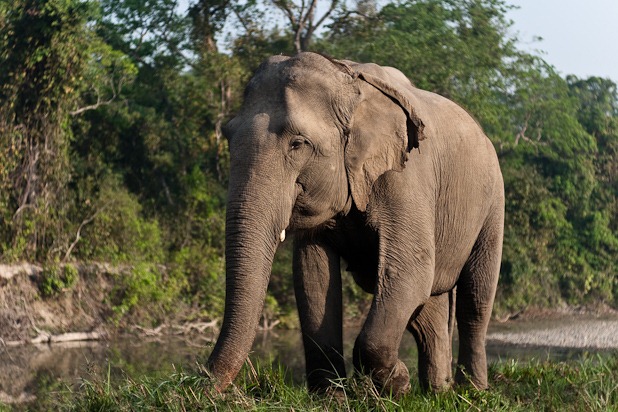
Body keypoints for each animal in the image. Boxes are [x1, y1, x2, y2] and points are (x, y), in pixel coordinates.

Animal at [205, 51, 502, 396]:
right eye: (228, 136)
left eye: (298, 143)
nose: (200, 383)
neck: (348, 83)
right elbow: (312, 274)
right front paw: (332, 397)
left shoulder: (406, 176)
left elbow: (411, 267)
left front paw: (398, 383)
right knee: (427, 311)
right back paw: (438, 391)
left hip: (493, 203)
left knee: (474, 300)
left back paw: (472, 390)